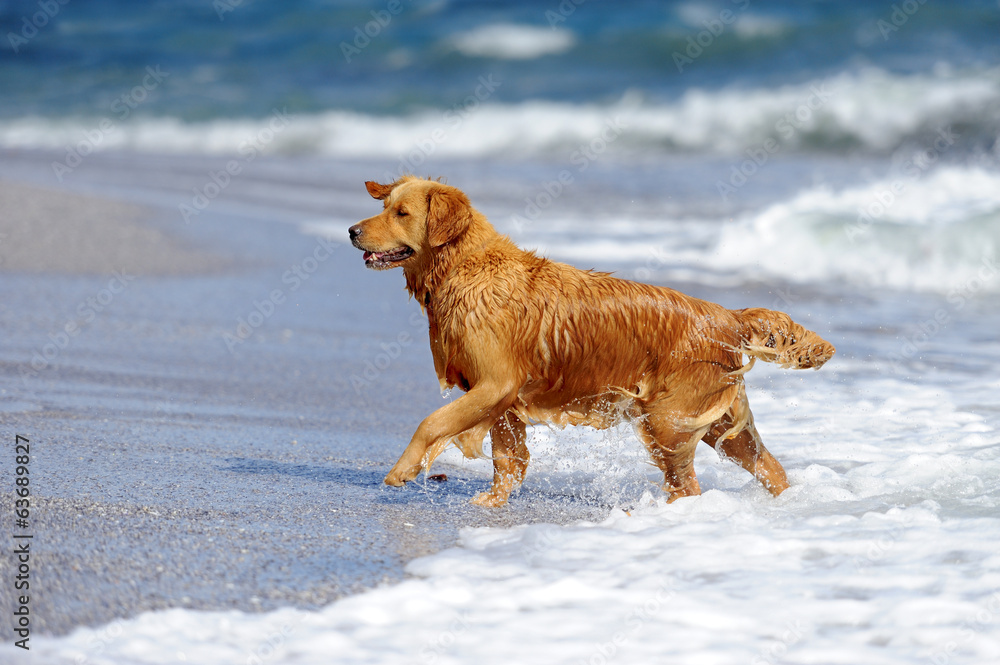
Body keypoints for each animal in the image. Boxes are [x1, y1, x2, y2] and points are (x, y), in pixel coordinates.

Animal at [348, 174, 832, 506]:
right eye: (384, 205)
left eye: (401, 213)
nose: (352, 231)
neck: (464, 267)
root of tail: (728, 315)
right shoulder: (501, 397)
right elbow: (508, 458)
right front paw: (492, 502)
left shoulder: (496, 383)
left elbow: (431, 422)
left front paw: (402, 469)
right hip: (718, 424)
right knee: (769, 466)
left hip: (666, 421)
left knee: (688, 484)